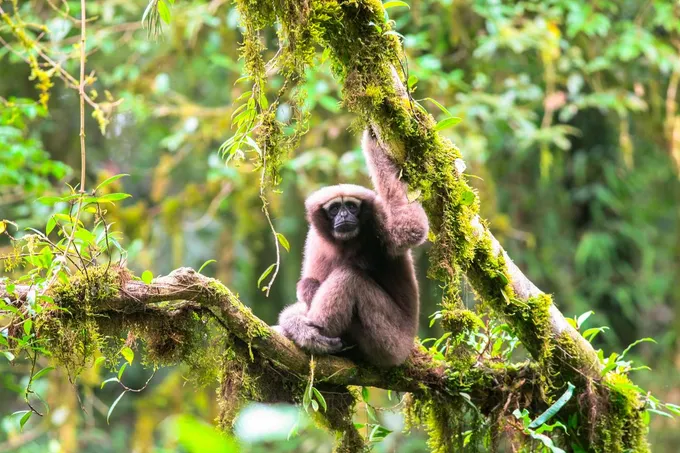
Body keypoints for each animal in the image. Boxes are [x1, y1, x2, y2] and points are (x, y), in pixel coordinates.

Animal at [273, 127, 429, 367]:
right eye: (335, 208)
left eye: (351, 206)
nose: (344, 215)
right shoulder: (315, 239)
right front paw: (294, 322)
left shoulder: (378, 219)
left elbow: (411, 227)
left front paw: (372, 143)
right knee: (309, 284)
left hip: (390, 342)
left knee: (349, 278)